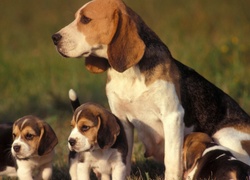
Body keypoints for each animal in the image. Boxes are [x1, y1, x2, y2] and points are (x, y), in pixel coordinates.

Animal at [51, 0, 250, 178]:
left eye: (85, 19)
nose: (54, 38)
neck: (129, 74)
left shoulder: (172, 116)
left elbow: (172, 160)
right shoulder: (121, 120)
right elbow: (124, 157)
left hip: (224, 135)